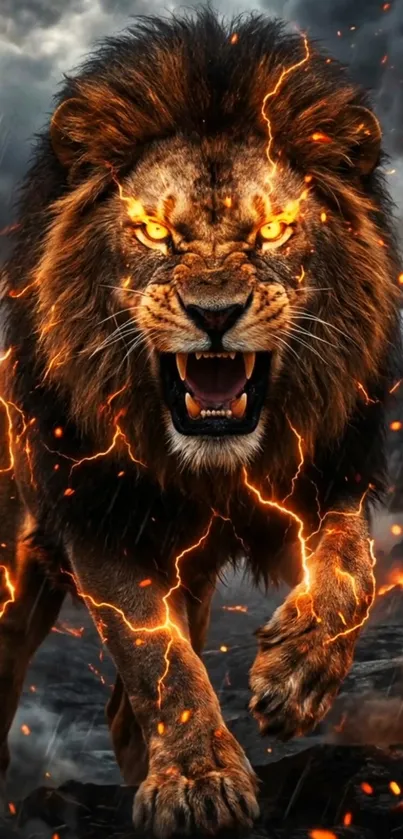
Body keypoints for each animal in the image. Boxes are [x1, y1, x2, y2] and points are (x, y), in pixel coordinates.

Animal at [0, 8, 400, 837]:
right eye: (154, 232)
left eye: (275, 229)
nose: (214, 314)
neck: (210, 466)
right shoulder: (103, 516)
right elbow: (160, 660)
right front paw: (197, 779)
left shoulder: (326, 475)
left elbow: (350, 571)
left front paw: (294, 677)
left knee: (122, 716)